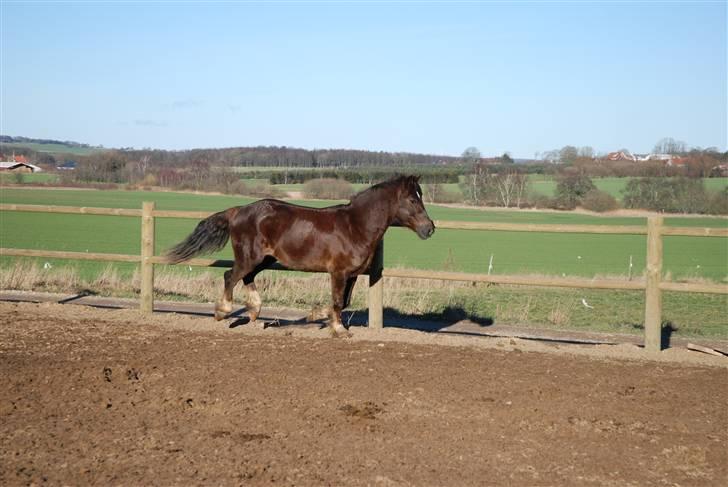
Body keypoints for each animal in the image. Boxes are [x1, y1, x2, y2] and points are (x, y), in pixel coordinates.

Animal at [165, 173, 436, 338]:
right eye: (413, 199)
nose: (429, 229)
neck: (355, 226)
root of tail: (237, 211)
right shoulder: (338, 272)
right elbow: (337, 302)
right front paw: (338, 329)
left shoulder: (352, 275)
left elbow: (344, 302)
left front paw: (316, 315)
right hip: (249, 257)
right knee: (230, 276)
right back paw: (223, 312)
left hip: (264, 259)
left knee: (246, 278)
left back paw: (254, 313)